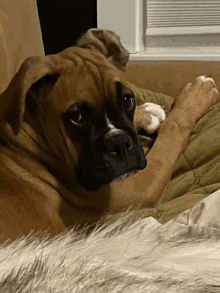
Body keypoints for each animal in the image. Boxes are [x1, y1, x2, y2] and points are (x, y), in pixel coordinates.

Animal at [0, 28, 218, 242]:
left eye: (127, 99)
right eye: (76, 116)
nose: (119, 143)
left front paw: (146, 113)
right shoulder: (138, 187)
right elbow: (172, 131)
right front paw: (197, 96)